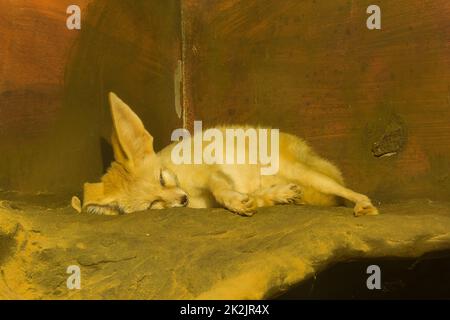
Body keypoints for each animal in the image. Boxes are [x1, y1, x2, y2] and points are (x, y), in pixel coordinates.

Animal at [75, 92, 378, 218]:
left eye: (162, 178)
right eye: (153, 204)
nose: (182, 200)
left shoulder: (210, 170)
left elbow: (220, 188)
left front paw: (234, 201)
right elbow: (250, 197)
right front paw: (258, 199)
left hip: (304, 172)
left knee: (345, 190)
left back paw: (363, 203)